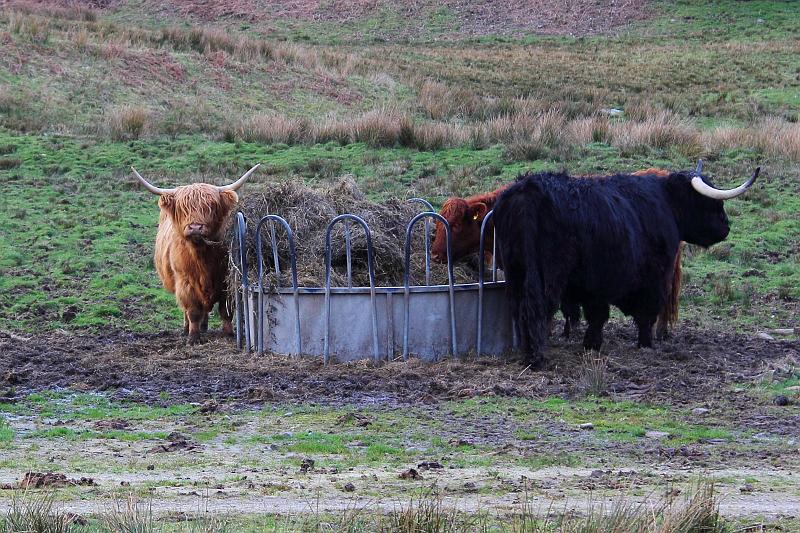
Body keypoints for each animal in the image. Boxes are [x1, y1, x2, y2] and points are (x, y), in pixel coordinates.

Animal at [131, 164, 260, 344]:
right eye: (182, 207)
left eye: (211, 205)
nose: (195, 227)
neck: (202, 256)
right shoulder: (185, 283)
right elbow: (192, 311)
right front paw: (193, 337)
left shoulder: (226, 280)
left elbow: (225, 310)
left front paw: (228, 333)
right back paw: (188, 329)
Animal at [492, 161, 759, 367]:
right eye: (711, 203)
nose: (725, 227)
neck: (666, 202)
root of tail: (527, 191)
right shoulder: (652, 278)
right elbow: (644, 314)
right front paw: (645, 344)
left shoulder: (595, 285)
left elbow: (598, 316)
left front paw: (592, 344)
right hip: (548, 274)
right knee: (536, 307)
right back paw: (536, 357)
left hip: (516, 271)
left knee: (519, 306)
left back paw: (527, 351)